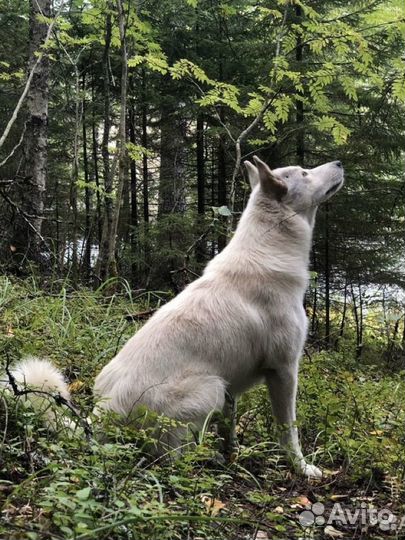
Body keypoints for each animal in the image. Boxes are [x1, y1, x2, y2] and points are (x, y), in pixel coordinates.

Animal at [9, 156, 342, 476]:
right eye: (304, 172)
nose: (338, 163)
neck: (271, 241)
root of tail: (101, 419)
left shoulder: (235, 390)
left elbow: (229, 432)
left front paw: (232, 459)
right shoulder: (284, 370)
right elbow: (289, 432)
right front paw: (302, 468)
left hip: (219, 388)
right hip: (211, 388)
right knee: (166, 458)